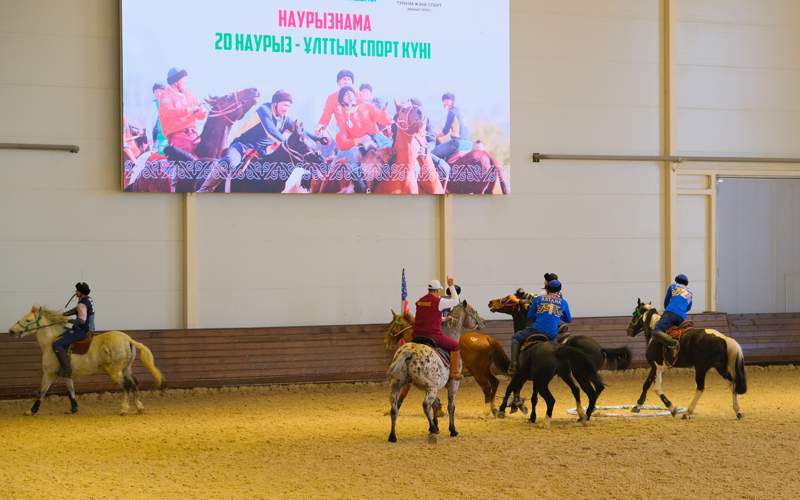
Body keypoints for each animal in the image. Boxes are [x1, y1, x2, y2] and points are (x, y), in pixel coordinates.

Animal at [7, 306, 164, 416]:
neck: (51, 341)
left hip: (116, 371)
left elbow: (42, 392)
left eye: (28, 320)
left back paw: (124, 409)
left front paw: (31, 411)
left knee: (126, 386)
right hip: (126, 369)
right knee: (134, 383)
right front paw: (74, 408)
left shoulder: (49, 374)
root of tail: (128, 339)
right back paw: (139, 407)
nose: (11, 331)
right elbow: (71, 390)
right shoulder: (66, 374)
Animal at [624, 298, 752, 420]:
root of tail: (724, 338)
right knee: (733, 383)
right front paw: (637, 406)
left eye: (634, 313)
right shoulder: (654, 366)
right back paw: (738, 412)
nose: (628, 330)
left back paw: (687, 413)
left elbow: (657, 388)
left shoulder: (658, 366)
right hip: (720, 368)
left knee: (700, 388)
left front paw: (672, 409)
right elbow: (646, 384)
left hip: (701, 368)